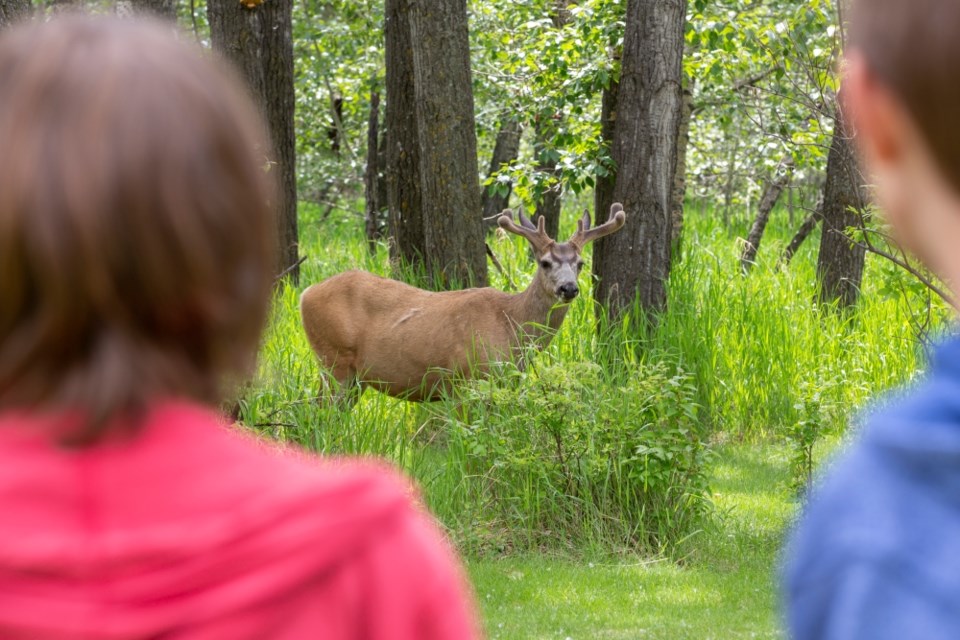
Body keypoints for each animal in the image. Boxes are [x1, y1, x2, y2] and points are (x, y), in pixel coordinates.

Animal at [302, 202, 632, 402]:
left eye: (580, 263)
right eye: (545, 262)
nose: (568, 288)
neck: (511, 325)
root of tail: (305, 293)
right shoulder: (466, 378)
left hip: (352, 376)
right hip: (334, 359)